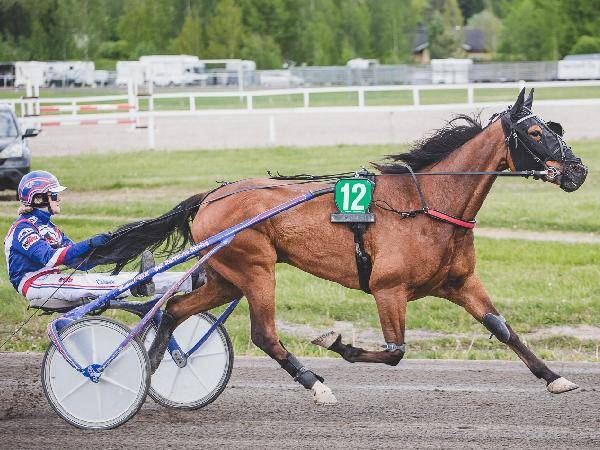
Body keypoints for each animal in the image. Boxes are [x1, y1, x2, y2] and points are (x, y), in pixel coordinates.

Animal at [88, 88, 587, 405]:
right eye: (536, 133)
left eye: (553, 127)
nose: (579, 171)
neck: (427, 204)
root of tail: (211, 197)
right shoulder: (388, 288)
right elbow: (395, 351)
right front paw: (337, 343)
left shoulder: (461, 282)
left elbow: (504, 330)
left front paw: (555, 378)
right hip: (255, 269)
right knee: (264, 334)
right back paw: (314, 383)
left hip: (226, 278)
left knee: (173, 310)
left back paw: (149, 372)